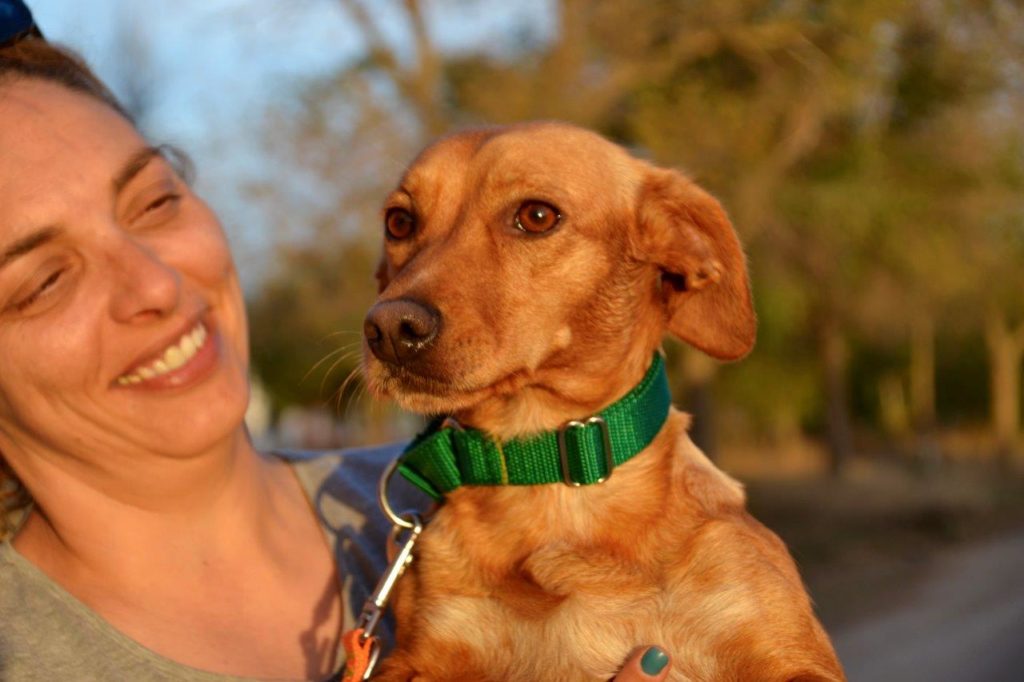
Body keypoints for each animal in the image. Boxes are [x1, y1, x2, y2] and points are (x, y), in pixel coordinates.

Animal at [364, 123, 843, 679]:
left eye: (537, 216)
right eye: (399, 222)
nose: (389, 329)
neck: (552, 473)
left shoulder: (783, 647)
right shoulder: (416, 655)